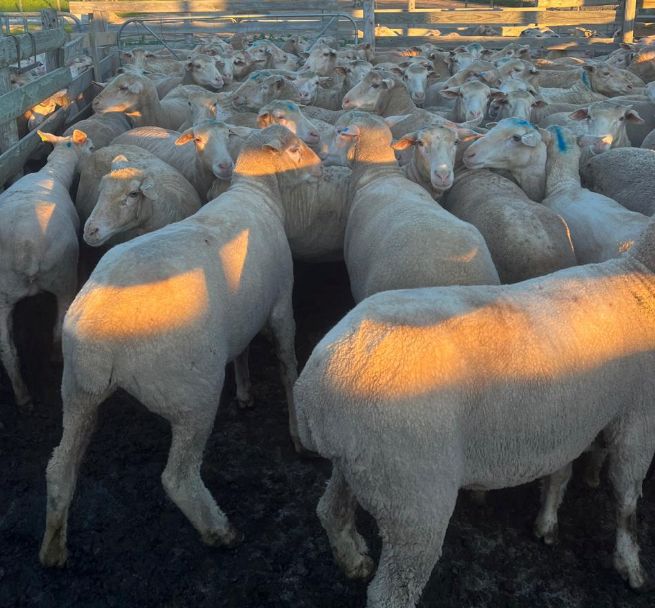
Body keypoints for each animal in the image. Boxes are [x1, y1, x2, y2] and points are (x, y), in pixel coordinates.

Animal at [0, 130, 92, 409]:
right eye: (90, 148)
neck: (53, 172)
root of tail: (26, 249)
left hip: (2, 294)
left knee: (7, 350)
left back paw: (22, 394)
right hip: (63, 276)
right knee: (58, 325)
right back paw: (54, 358)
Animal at [39, 126, 322, 569]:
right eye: (295, 149)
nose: (322, 168)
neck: (256, 193)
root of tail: (103, 326)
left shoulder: (241, 314)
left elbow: (241, 351)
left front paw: (245, 392)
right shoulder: (280, 306)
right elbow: (287, 363)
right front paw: (298, 434)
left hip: (78, 388)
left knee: (59, 467)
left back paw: (52, 548)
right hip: (191, 392)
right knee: (178, 477)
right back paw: (221, 530)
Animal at [294, 217, 655, 605]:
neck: (640, 278)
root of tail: (311, 387)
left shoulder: (571, 420)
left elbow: (560, 473)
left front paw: (546, 523)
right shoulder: (638, 419)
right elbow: (626, 501)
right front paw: (631, 567)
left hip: (363, 466)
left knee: (331, 511)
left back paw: (353, 560)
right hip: (413, 494)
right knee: (391, 591)